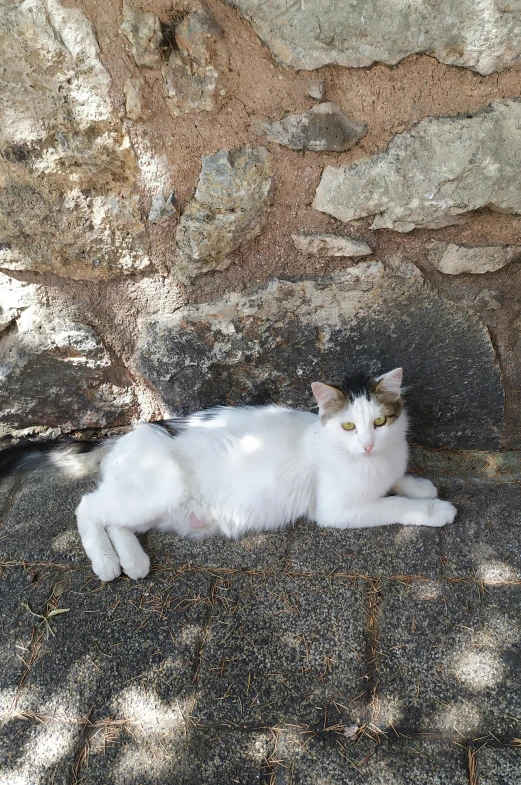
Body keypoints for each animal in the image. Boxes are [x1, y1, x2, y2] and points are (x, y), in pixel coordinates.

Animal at [0, 364, 456, 580]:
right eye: (348, 427)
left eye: (379, 423)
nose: (367, 445)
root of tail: (127, 435)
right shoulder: (339, 510)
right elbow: (393, 505)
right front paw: (434, 508)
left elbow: (398, 481)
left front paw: (419, 484)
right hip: (158, 488)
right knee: (88, 506)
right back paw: (107, 562)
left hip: (153, 505)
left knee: (116, 519)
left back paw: (133, 560)